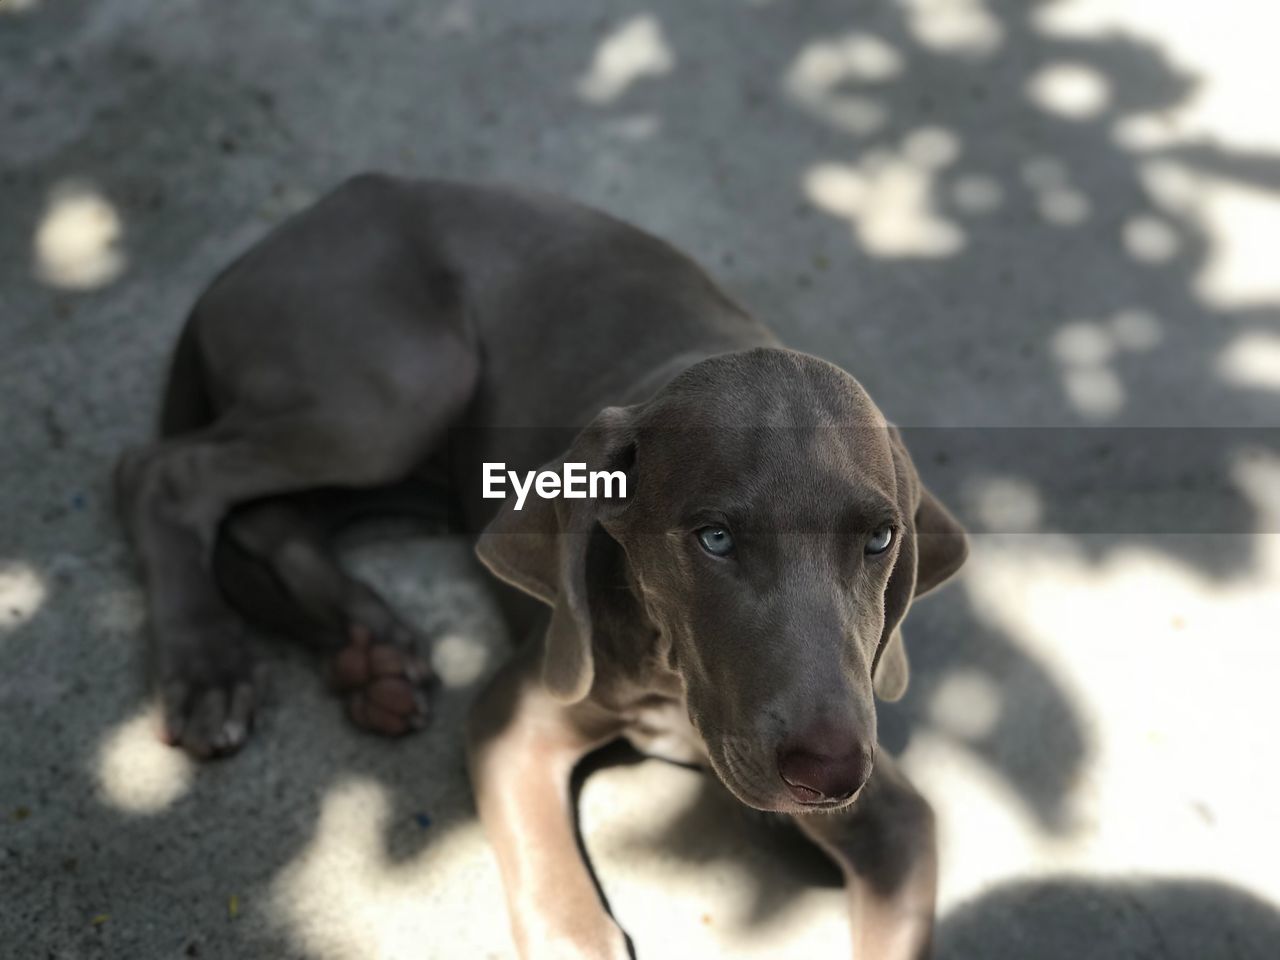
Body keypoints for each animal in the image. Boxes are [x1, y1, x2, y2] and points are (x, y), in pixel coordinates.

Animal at [115, 176, 962, 957]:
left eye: (880, 539)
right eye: (715, 538)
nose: (829, 773)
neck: (668, 672)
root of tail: (304, 219)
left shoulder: (895, 818)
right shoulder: (513, 724)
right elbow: (569, 920)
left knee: (269, 516)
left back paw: (370, 650)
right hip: (401, 387)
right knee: (168, 472)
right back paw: (208, 667)